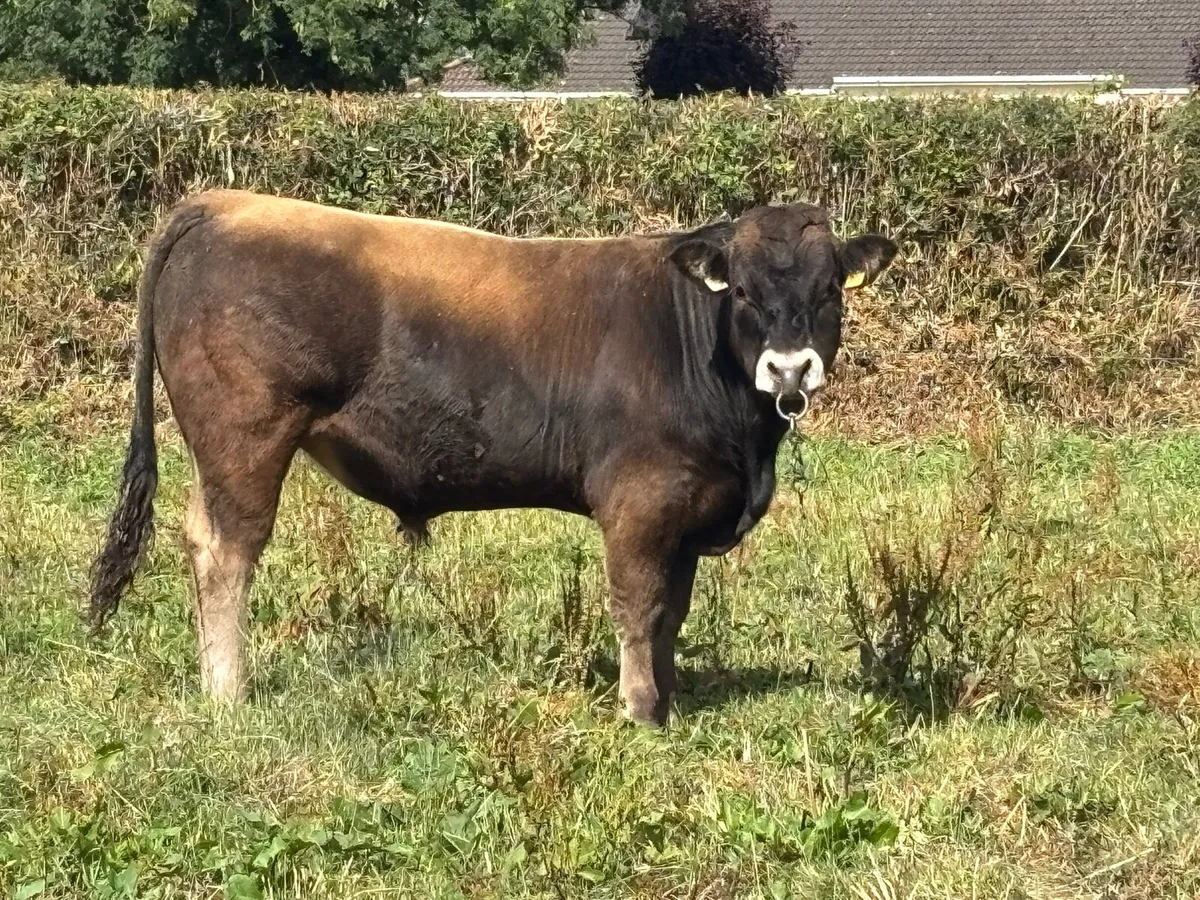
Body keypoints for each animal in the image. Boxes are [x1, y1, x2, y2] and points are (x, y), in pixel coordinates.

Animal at [89, 189, 897, 726]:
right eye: (747, 292)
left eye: (830, 287)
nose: (790, 370)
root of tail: (227, 203)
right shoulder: (640, 502)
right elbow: (638, 607)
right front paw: (640, 710)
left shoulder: (687, 514)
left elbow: (672, 613)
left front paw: (666, 700)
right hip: (246, 440)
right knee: (227, 551)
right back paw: (228, 692)